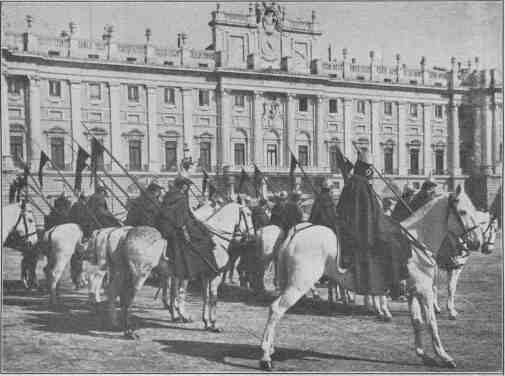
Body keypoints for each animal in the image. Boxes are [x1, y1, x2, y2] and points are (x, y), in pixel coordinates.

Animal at [104, 203, 252, 338]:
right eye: (249, 214)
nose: (251, 235)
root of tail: (125, 234)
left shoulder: (205, 277)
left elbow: (205, 298)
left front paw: (206, 323)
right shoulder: (215, 277)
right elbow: (212, 299)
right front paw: (214, 325)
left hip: (121, 272)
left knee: (113, 292)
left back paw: (113, 323)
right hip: (139, 275)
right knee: (127, 298)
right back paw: (129, 331)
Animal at [258, 186, 482, 370]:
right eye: (463, 211)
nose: (477, 242)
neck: (417, 241)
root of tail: (295, 232)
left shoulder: (413, 292)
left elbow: (417, 322)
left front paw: (423, 355)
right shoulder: (424, 291)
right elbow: (431, 323)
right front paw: (444, 357)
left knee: (277, 310)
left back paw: (271, 349)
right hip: (299, 284)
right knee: (276, 309)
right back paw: (265, 356)